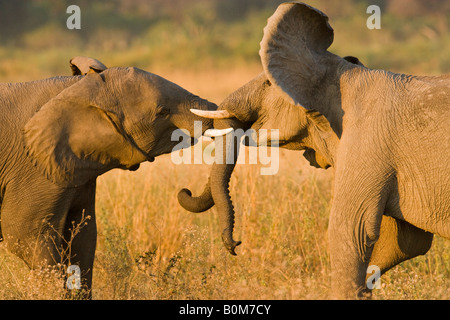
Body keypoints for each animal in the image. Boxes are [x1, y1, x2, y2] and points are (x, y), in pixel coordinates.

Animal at [0, 59, 221, 298]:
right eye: (163, 111)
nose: (185, 191)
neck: (77, 87)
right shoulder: (33, 167)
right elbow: (26, 238)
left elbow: (83, 238)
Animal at [178, 1, 448, 298]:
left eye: (269, 83)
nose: (235, 246)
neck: (340, 71)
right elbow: (407, 241)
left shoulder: (367, 142)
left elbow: (350, 230)